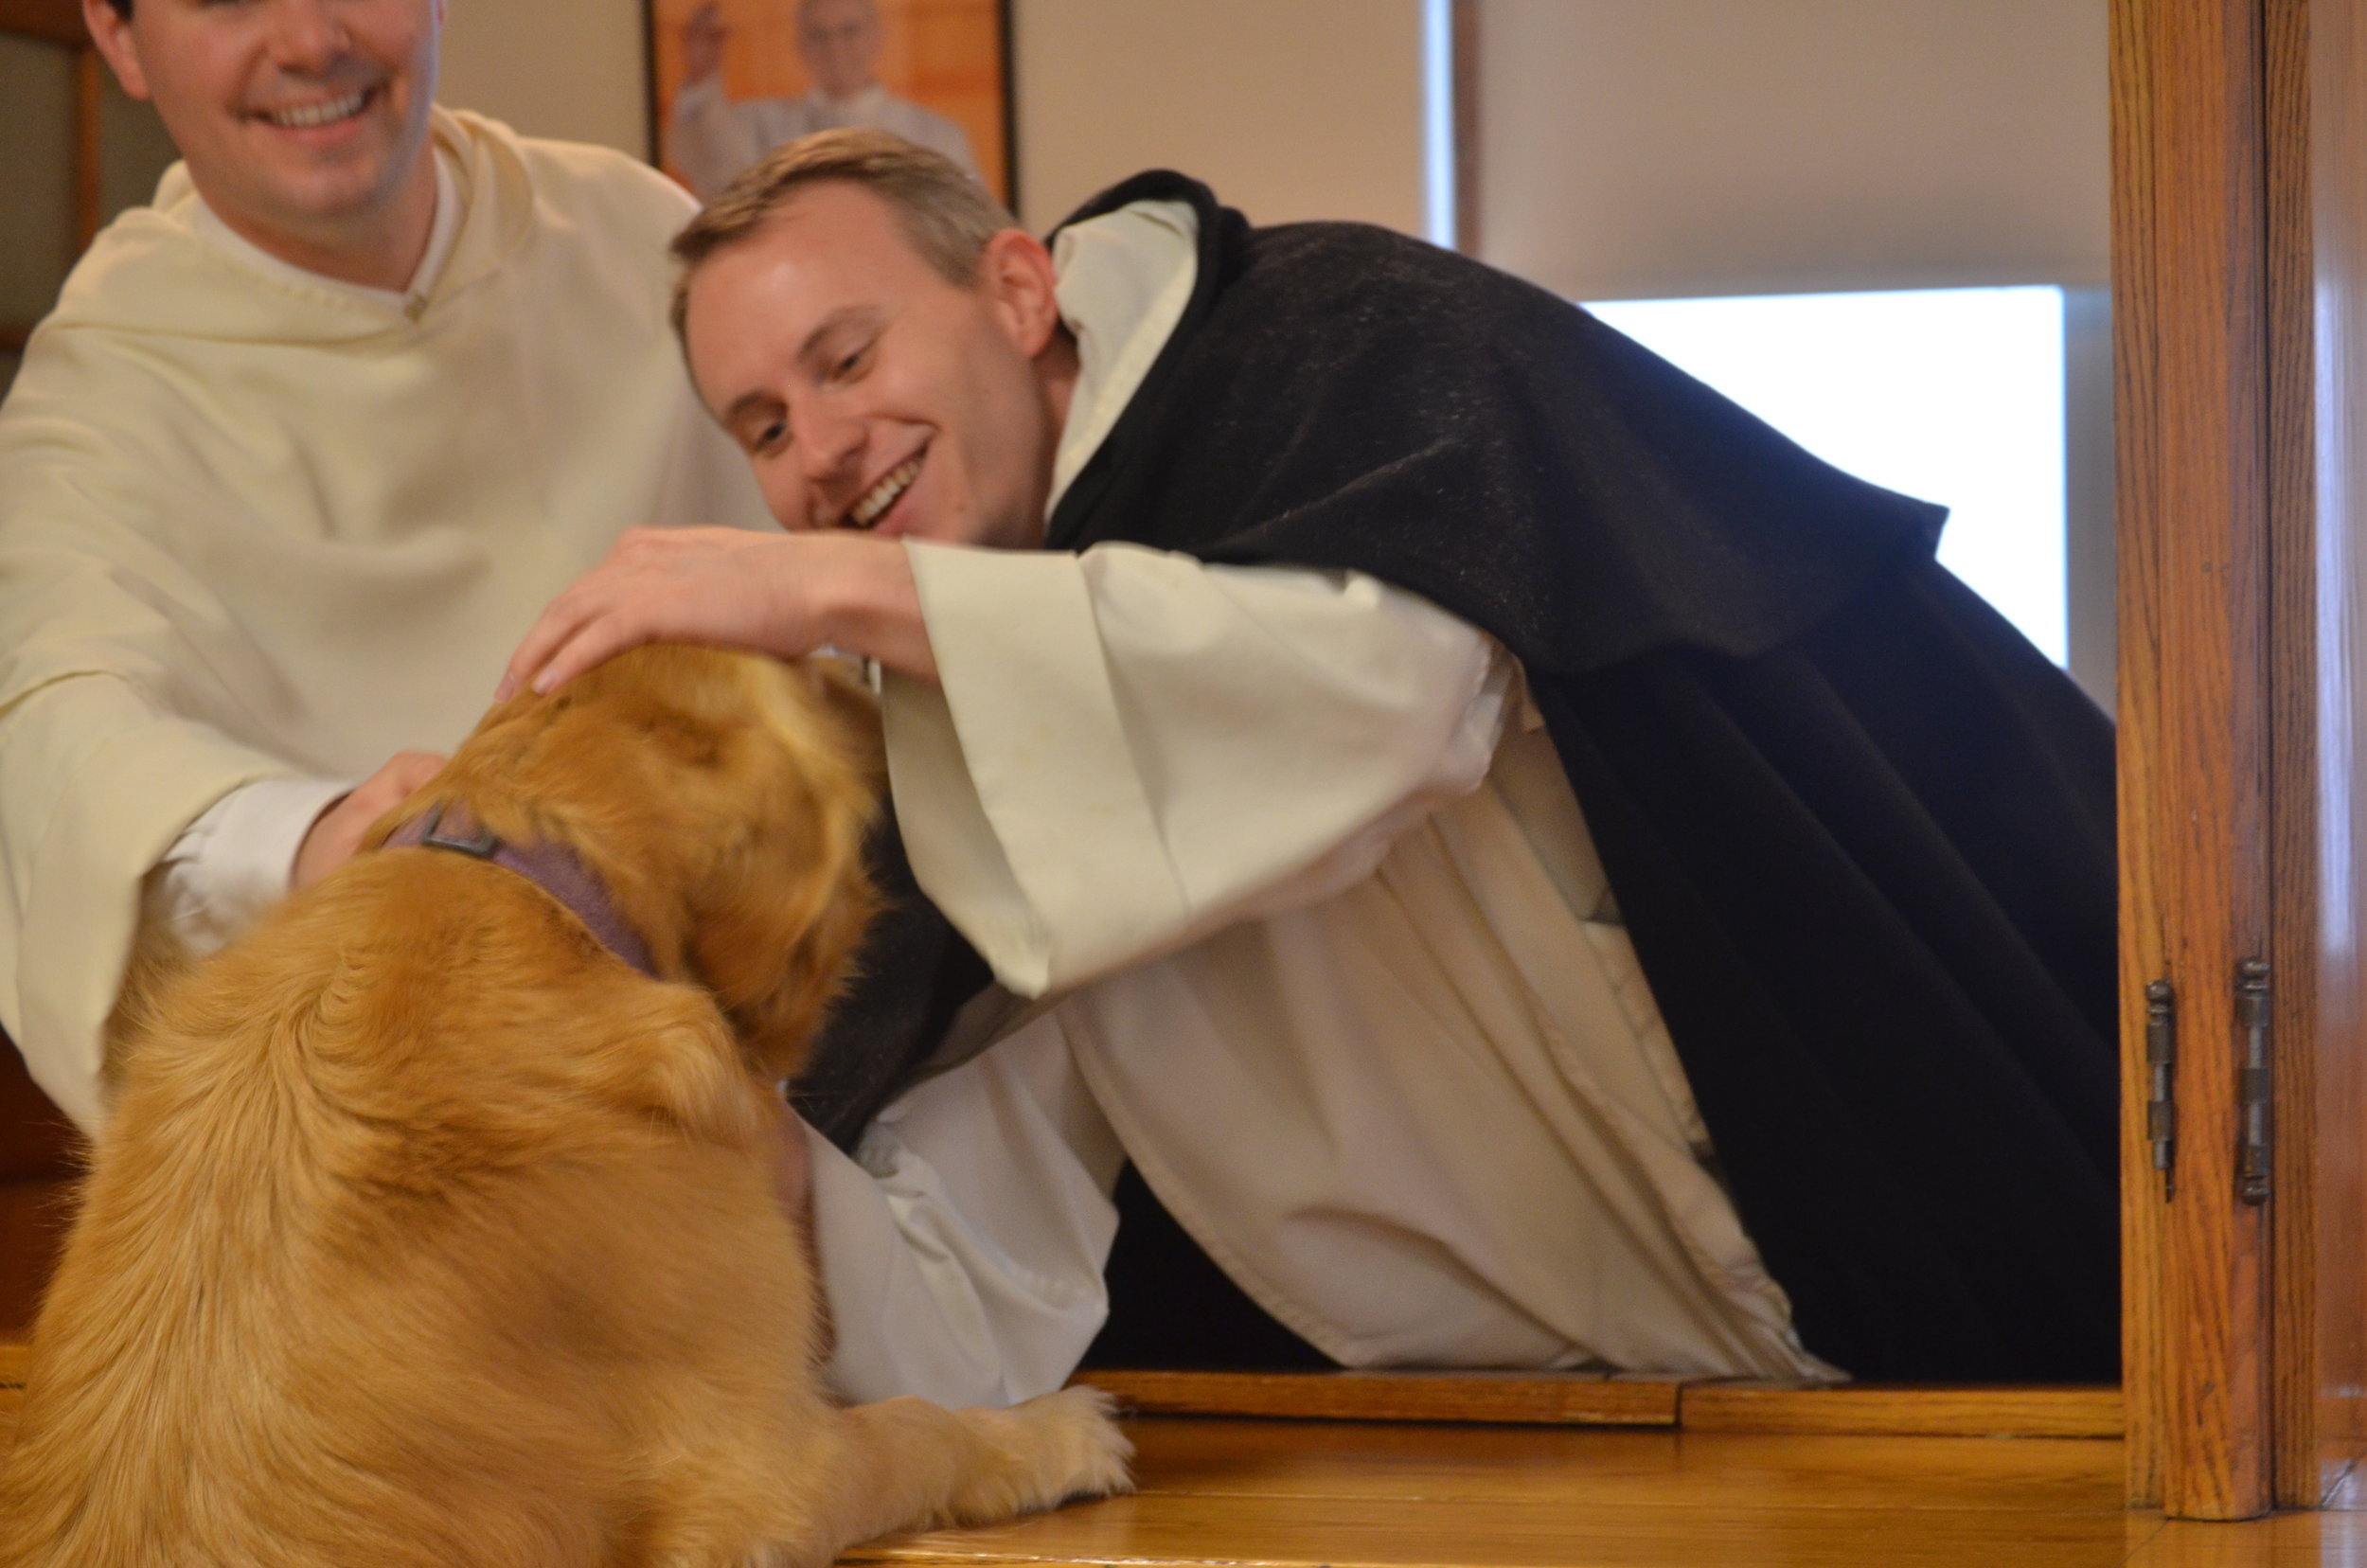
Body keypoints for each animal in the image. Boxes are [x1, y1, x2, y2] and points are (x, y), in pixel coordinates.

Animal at [0, 644, 1136, 1562]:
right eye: (811, 679)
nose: (876, 681)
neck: (535, 879)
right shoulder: (762, 1471)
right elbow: (918, 1424)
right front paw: (1054, 1431)